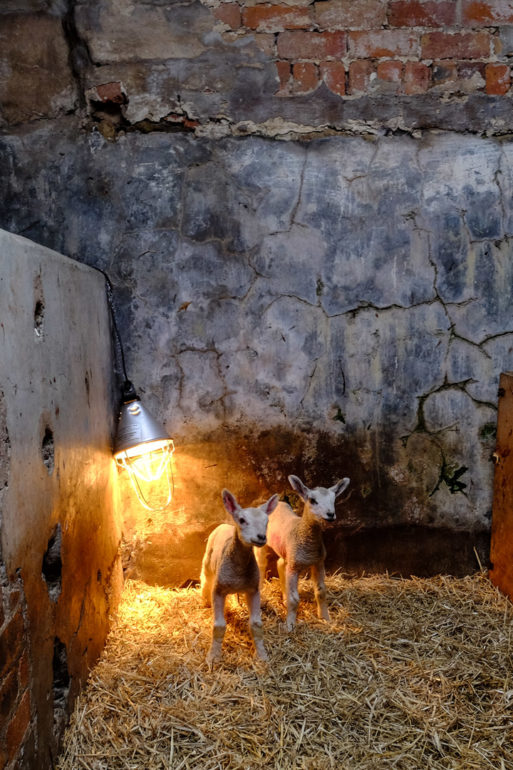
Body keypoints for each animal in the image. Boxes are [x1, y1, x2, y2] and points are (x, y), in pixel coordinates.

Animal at [201, 488, 280, 664]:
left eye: (266, 521)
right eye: (242, 520)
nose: (261, 537)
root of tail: (225, 525)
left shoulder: (253, 590)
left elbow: (256, 624)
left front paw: (262, 655)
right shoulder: (218, 590)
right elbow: (219, 626)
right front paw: (213, 656)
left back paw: (236, 605)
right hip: (208, 562)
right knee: (204, 580)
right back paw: (204, 602)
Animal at [255, 474, 350, 632]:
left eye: (333, 499)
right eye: (312, 500)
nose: (331, 514)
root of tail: (277, 502)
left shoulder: (318, 562)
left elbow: (321, 592)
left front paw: (325, 618)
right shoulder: (294, 568)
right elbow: (295, 599)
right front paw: (290, 625)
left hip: (288, 552)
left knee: (280, 564)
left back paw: (284, 597)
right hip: (263, 545)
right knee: (261, 564)